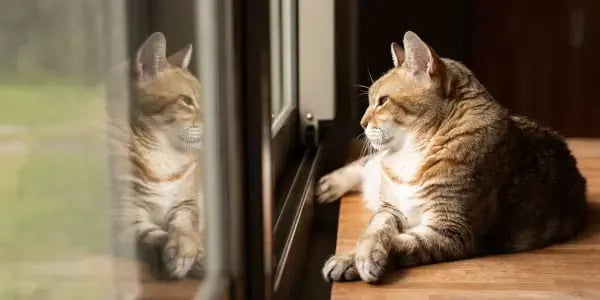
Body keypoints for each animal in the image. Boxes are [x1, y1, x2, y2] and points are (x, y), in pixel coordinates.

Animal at [104, 32, 205, 278]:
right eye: (186, 101)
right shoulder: (124, 217)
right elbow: (156, 235)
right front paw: (186, 255)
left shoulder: (187, 204)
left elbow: (184, 228)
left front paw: (192, 250)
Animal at [318, 31, 584, 284]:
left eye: (382, 101)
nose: (362, 124)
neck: (414, 151)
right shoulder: (390, 209)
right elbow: (374, 231)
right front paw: (353, 255)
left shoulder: (450, 230)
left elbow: (400, 242)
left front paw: (358, 259)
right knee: (362, 166)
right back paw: (327, 185)